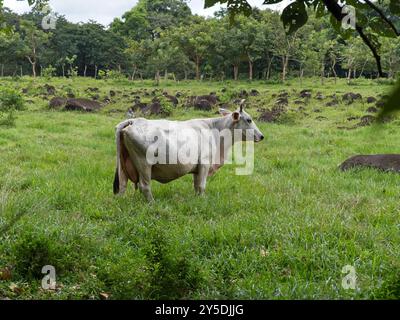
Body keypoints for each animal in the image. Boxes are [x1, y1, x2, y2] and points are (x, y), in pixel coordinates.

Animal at [112, 100, 264, 202]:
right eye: (249, 120)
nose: (261, 136)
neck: (214, 129)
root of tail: (133, 121)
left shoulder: (197, 169)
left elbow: (196, 186)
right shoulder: (204, 164)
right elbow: (201, 186)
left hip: (123, 165)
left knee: (122, 186)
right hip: (144, 164)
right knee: (144, 186)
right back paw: (152, 203)